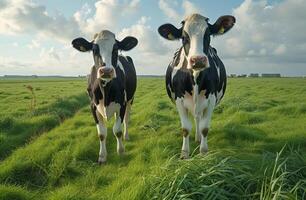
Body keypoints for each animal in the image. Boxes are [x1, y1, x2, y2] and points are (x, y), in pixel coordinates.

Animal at [71, 30, 136, 164]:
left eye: (115, 49)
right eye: (94, 49)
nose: (106, 71)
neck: (105, 90)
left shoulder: (121, 104)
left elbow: (117, 130)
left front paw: (121, 151)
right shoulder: (93, 106)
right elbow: (101, 133)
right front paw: (102, 156)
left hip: (130, 100)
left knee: (126, 120)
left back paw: (126, 136)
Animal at [159, 13, 235, 159]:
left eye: (208, 35)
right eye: (184, 37)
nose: (198, 60)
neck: (195, 77)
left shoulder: (211, 99)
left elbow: (204, 128)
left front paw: (203, 152)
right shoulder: (179, 100)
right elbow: (185, 129)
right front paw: (184, 154)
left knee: (198, 118)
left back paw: (199, 138)